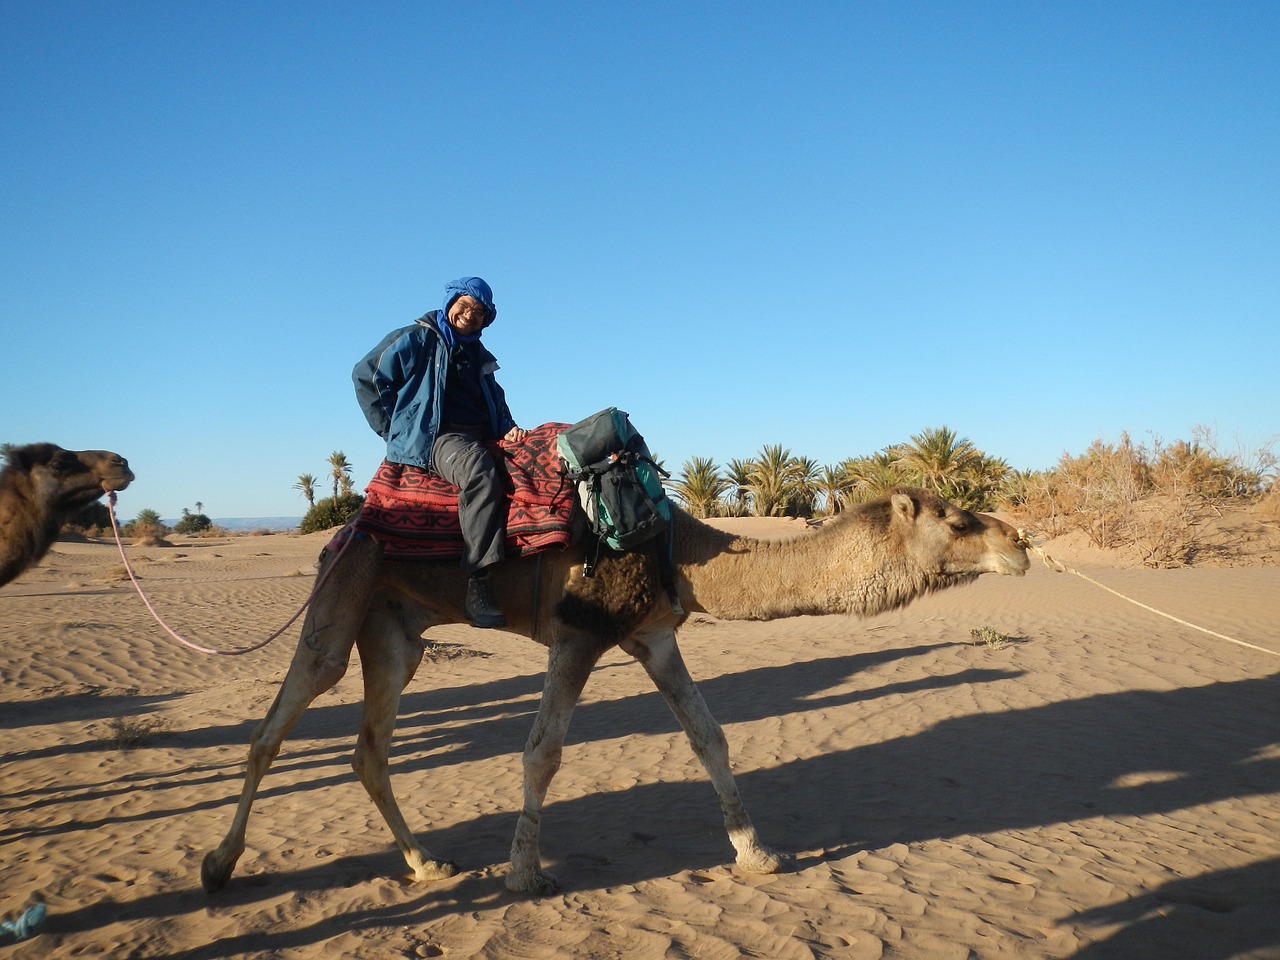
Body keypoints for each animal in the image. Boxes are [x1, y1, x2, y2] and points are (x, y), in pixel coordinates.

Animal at [204, 491, 1029, 901]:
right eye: (959, 519)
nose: (1020, 544)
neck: (683, 552)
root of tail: (340, 530)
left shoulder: (655, 637)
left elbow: (710, 736)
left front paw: (757, 853)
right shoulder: (577, 633)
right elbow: (542, 752)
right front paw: (525, 874)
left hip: (395, 631)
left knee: (370, 751)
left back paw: (427, 865)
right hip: (345, 591)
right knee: (276, 725)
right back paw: (219, 864)